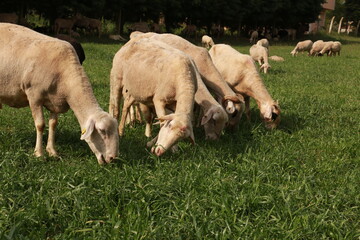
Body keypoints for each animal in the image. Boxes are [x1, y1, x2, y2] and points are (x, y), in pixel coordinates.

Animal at [0, 23, 119, 164]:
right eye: (102, 131)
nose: (112, 158)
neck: (66, 76)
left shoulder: (55, 100)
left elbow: (53, 124)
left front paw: (52, 151)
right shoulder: (34, 96)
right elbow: (40, 125)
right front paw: (39, 154)